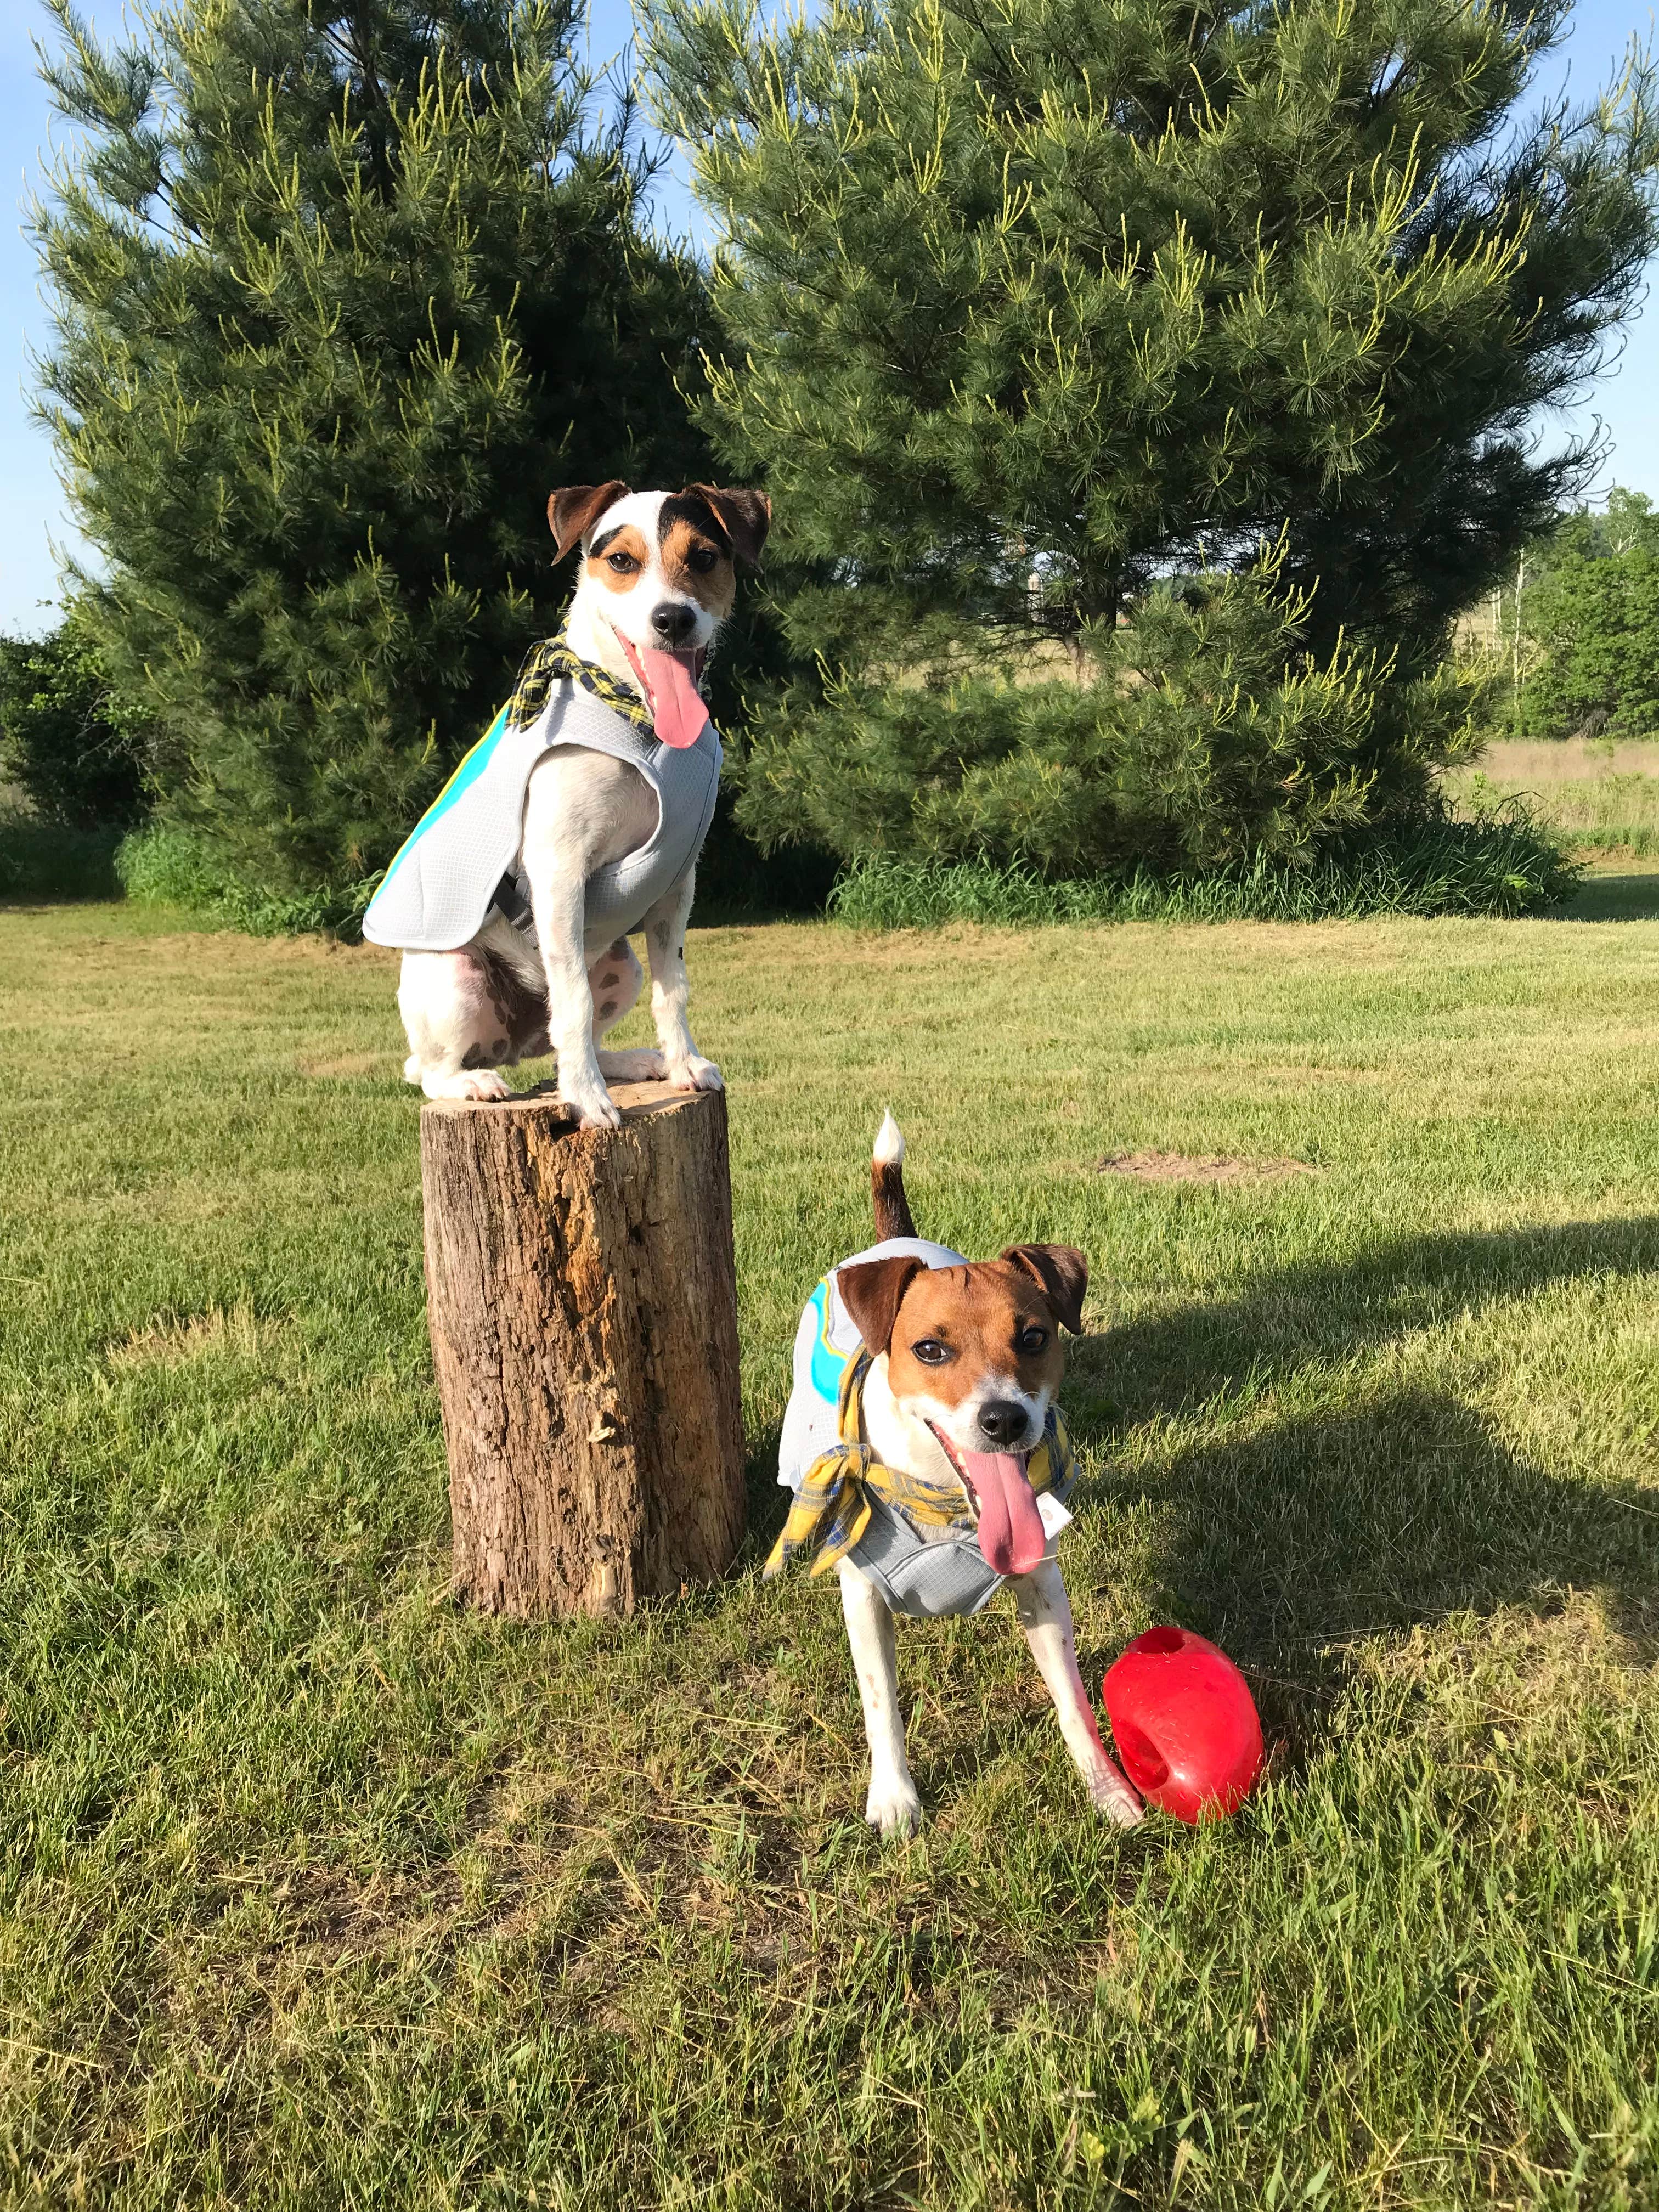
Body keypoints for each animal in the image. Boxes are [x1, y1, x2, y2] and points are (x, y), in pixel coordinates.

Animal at [363, 491, 774, 1132]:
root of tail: (519, 1040)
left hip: (622, 967)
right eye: (622, 560)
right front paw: (586, 1099)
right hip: (455, 981)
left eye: (705, 557)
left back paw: (630, 1062)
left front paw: (683, 1063)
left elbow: (674, 988)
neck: (640, 724)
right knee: (435, 1070)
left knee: (573, 1038)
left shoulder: (677, 885)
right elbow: (574, 999)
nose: (673, 619)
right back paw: (478, 1081)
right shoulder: (558, 874)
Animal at [778, 1115, 1141, 1840]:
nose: (1004, 1419)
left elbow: (1073, 1698)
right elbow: (881, 1705)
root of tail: (891, 1242)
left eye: (1033, 1338)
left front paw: (1105, 1787)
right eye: (929, 1349)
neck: (946, 1505)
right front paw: (895, 1798)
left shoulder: (1042, 1586)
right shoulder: (863, 1597)